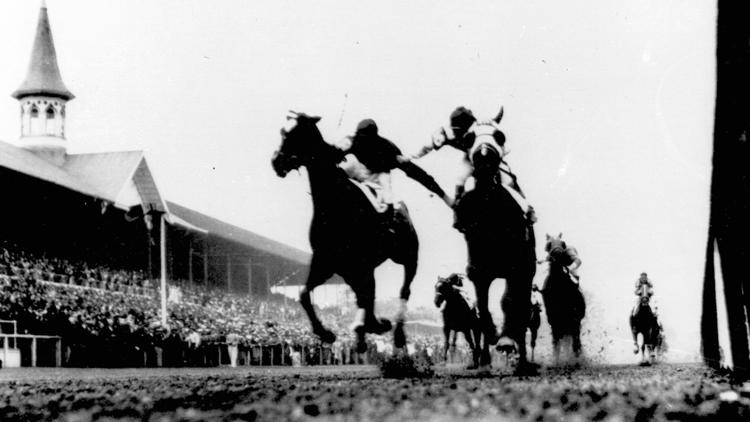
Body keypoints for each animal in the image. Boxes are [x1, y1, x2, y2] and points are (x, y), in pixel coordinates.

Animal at [272, 112, 424, 352]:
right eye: (282, 132)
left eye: (295, 134)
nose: (276, 162)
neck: (335, 202)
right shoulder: (326, 262)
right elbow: (304, 294)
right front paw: (326, 333)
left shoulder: (359, 262)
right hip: (352, 270)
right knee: (366, 295)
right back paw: (373, 326)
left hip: (408, 257)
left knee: (403, 291)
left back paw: (397, 334)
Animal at [452, 109, 540, 372]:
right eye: (468, 137)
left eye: (500, 135)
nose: (484, 156)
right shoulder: (479, 269)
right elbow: (482, 308)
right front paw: (491, 334)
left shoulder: (517, 266)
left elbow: (510, 302)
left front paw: (506, 340)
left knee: (519, 308)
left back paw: (521, 358)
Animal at [544, 232, 592, 364]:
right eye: (549, 244)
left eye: (563, 243)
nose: (557, 253)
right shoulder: (555, 322)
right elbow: (556, 346)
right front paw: (556, 361)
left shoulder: (575, 320)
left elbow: (576, 345)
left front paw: (577, 361)